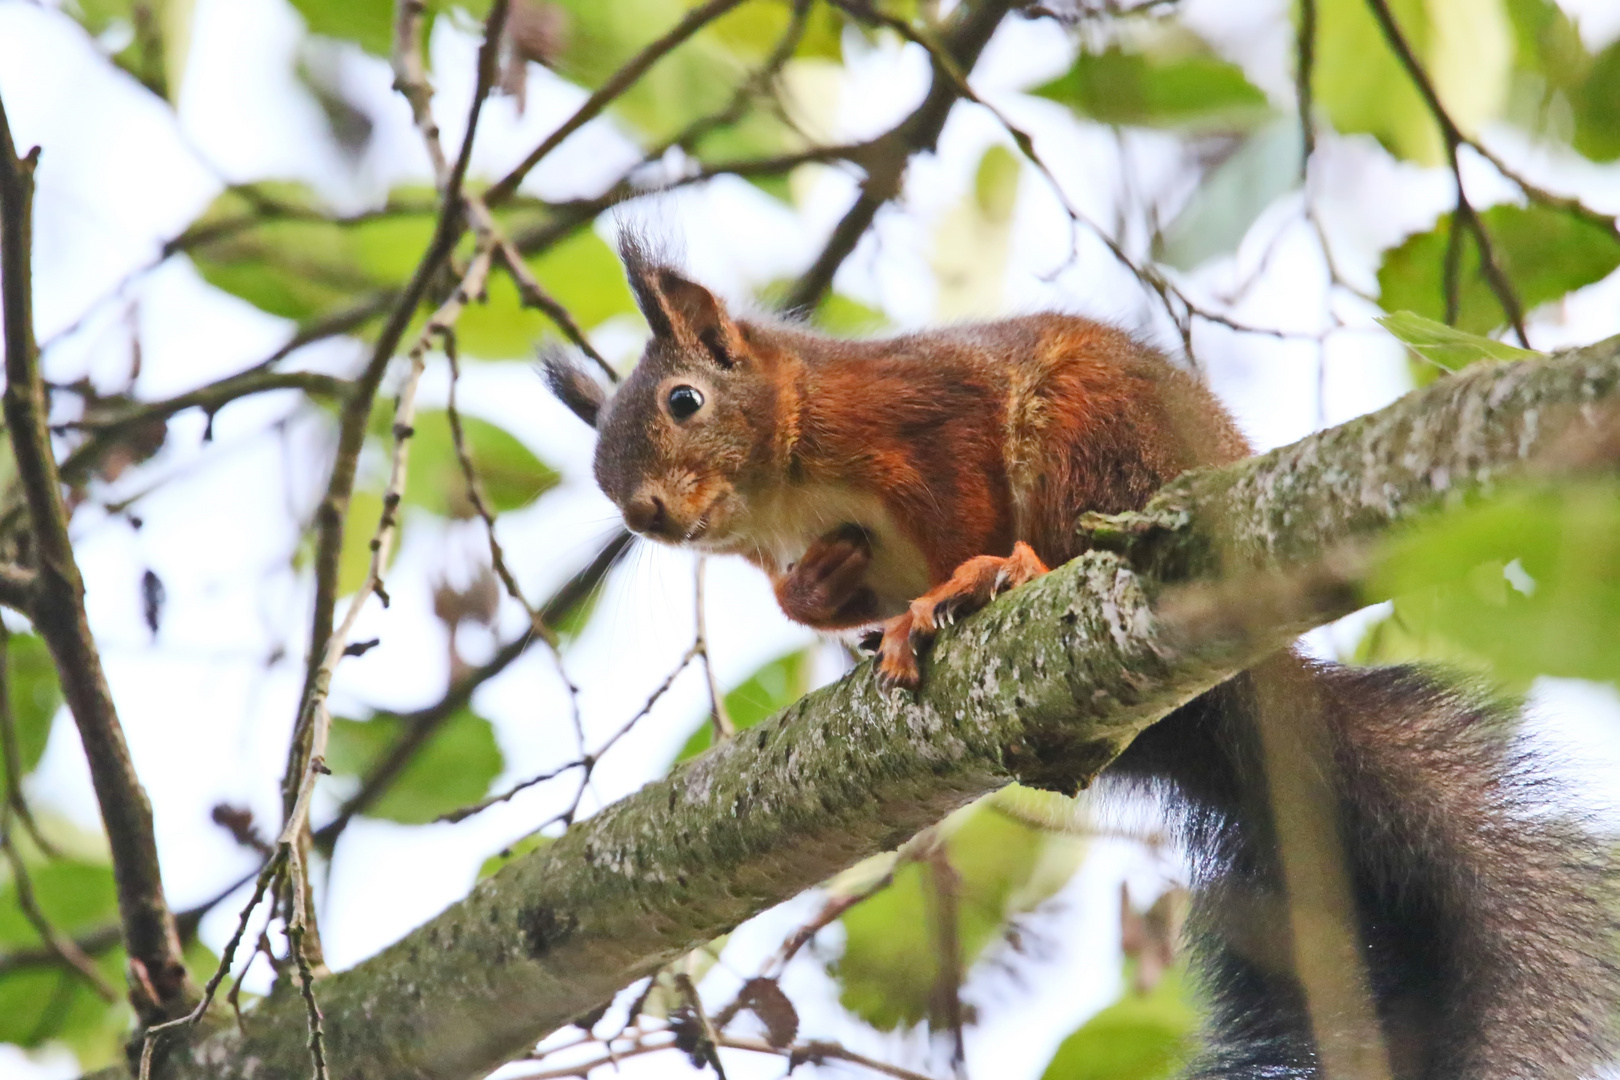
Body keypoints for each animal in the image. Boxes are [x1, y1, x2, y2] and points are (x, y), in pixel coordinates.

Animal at [547, 242, 1620, 1080]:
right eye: (600, 470)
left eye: (685, 401)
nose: (646, 514)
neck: (783, 497)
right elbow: (815, 589)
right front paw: (822, 592)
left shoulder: (920, 414)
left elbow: (965, 500)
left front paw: (955, 582)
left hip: (1089, 428)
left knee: (1062, 523)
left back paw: (1011, 571)